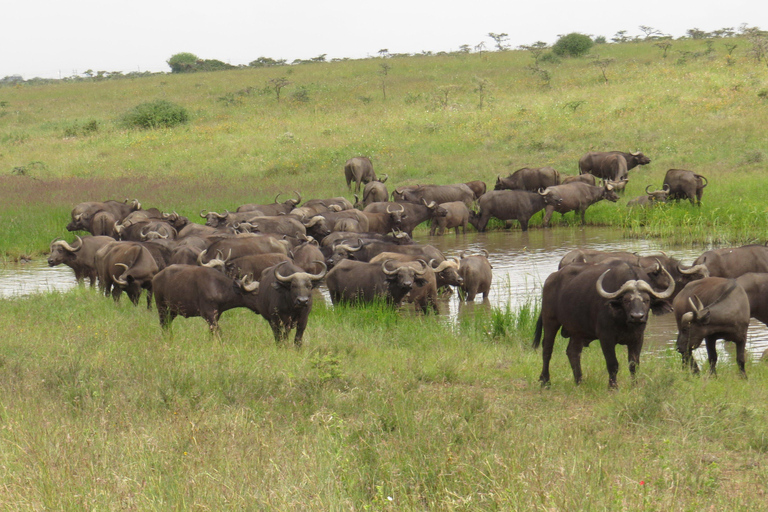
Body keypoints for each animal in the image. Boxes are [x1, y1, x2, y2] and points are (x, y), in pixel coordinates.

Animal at [532, 260, 676, 388]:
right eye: (626, 300)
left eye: (646, 300)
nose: (637, 316)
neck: (624, 321)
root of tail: (551, 279)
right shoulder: (606, 338)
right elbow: (613, 364)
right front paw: (613, 387)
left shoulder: (638, 338)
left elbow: (634, 364)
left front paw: (635, 386)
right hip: (550, 320)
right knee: (547, 350)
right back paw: (545, 381)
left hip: (577, 331)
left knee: (573, 352)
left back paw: (579, 381)